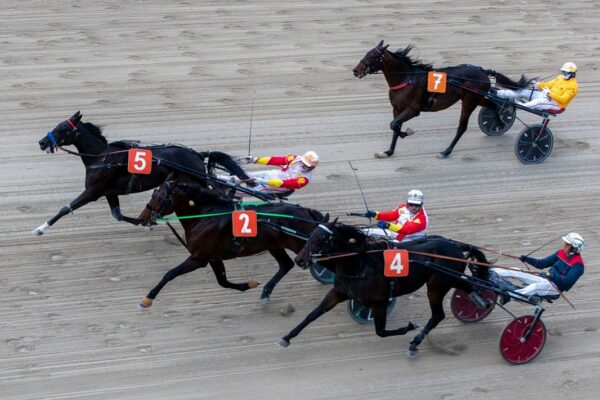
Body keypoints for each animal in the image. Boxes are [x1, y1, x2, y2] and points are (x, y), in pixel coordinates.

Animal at [34, 109, 250, 234]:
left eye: (62, 128)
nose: (42, 142)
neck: (102, 158)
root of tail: (196, 154)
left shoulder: (93, 191)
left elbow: (65, 208)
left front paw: (40, 228)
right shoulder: (109, 192)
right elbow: (118, 215)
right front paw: (146, 220)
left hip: (196, 181)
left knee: (219, 193)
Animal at [137, 177, 328, 304]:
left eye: (159, 196)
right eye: (154, 193)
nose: (143, 217)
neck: (204, 215)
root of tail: (307, 211)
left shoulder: (198, 258)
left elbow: (170, 273)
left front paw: (148, 298)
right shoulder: (213, 257)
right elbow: (223, 281)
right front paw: (249, 284)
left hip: (301, 245)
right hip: (275, 245)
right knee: (286, 264)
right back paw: (266, 292)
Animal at [278, 222, 490, 356]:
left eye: (322, 238)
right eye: (311, 235)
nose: (300, 260)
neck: (359, 266)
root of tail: (455, 246)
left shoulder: (379, 302)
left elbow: (380, 331)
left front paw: (410, 326)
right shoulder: (338, 292)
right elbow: (313, 314)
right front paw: (286, 338)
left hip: (437, 285)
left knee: (438, 315)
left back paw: (415, 342)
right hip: (447, 280)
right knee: (466, 286)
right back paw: (482, 301)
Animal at [352, 40, 528, 159]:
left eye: (373, 55)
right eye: (367, 53)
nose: (355, 70)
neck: (406, 79)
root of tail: (482, 71)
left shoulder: (413, 110)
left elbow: (394, 125)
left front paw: (406, 132)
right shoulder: (397, 109)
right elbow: (394, 126)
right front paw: (389, 151)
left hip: (469, 101)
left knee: (462, 127)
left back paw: (446, 151)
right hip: (477, 98)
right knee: (493, 106)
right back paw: (501, 121)